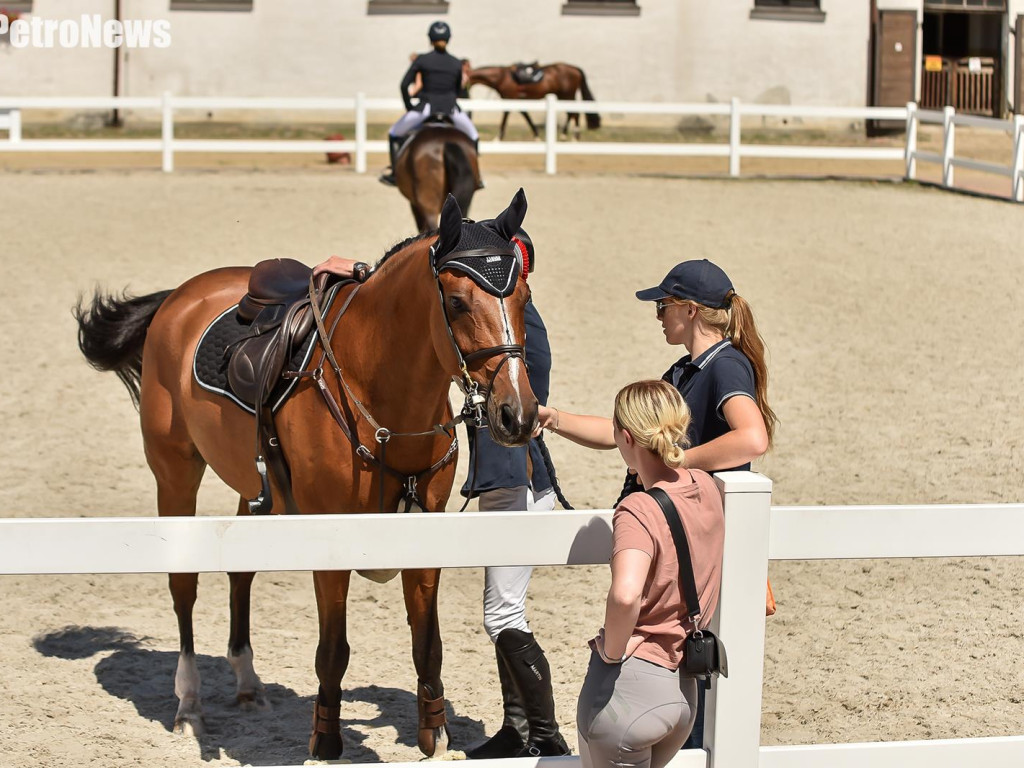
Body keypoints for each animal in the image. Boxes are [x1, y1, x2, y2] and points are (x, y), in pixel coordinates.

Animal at [72, 189, 536, 761]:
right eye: (456, 302)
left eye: (523, 297)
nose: (517, 414)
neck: (379, 392)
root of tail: (180, 297)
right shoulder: (329, 538)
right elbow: (333, 649)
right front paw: (326, 741)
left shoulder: (423, 529)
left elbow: (428, 644)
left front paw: (434, 735)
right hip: (174, 471)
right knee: (184, 584)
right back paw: (189, 706)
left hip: (258, 491)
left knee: (240, 571)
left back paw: (248, 685)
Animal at [468, 61, 602, 141]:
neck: (502, 77)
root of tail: (575, 68)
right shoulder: (516, 100)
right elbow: (525, 114)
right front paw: (536, 135)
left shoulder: (509, 98)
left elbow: (507, 115)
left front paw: (498, 138)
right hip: (563, 95)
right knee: (573, 113)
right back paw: (571, 136)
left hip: (567, 95)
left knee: (573, 113)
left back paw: (570, 136)